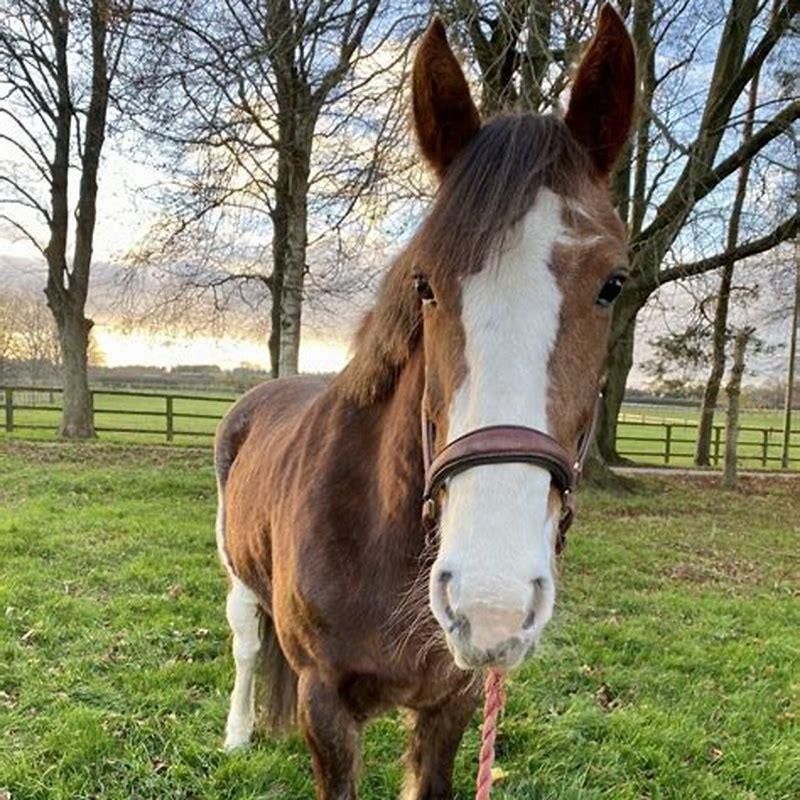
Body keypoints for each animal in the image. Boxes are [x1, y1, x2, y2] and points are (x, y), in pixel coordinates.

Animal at [214, 6, 635, 798]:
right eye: (424, 284)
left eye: (613, 284)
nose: (491, 602)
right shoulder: (325, 706)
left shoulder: (453, 702)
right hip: (234, 572)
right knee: (247, 645)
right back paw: (237, 733)